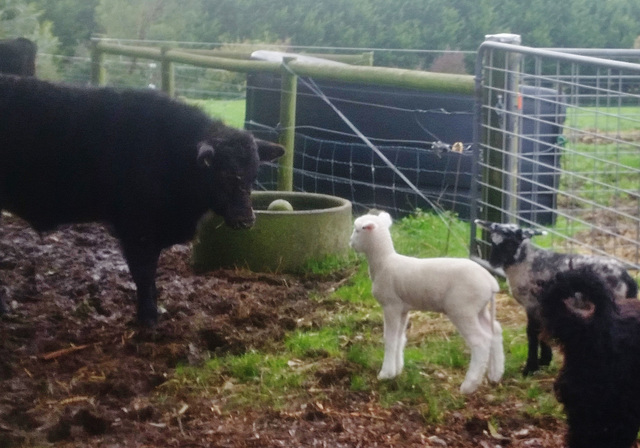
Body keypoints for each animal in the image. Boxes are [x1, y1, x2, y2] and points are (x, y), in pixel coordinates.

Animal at [0, 74, 282, 326]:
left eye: (254, 173)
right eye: (223, 173)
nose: (246, 219)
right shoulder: (137, 229)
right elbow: (144, 274)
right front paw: (148, 319)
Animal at [350, 212, 504, 394]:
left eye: (357, 230)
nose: (351, 243)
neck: (384, 262)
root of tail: (490, 282)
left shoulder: (390, 305)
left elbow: (390, 339)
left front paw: (386, 373)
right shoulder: (403, 308)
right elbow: (400, 338)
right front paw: (397, 370)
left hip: (462, 309)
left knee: (480, 341)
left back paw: (469, 385)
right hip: (480, 309)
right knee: (495, 332)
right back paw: (495, 375)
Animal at [472, 220, 636, 374]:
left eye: (512, 243)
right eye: (492, 240)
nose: (493, 262)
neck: (526, 262)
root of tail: (627, 278)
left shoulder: (532, 304)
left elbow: (533, 332)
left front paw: (530, 367)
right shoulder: (542, 306)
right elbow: (543, 330)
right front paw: (544, 360)